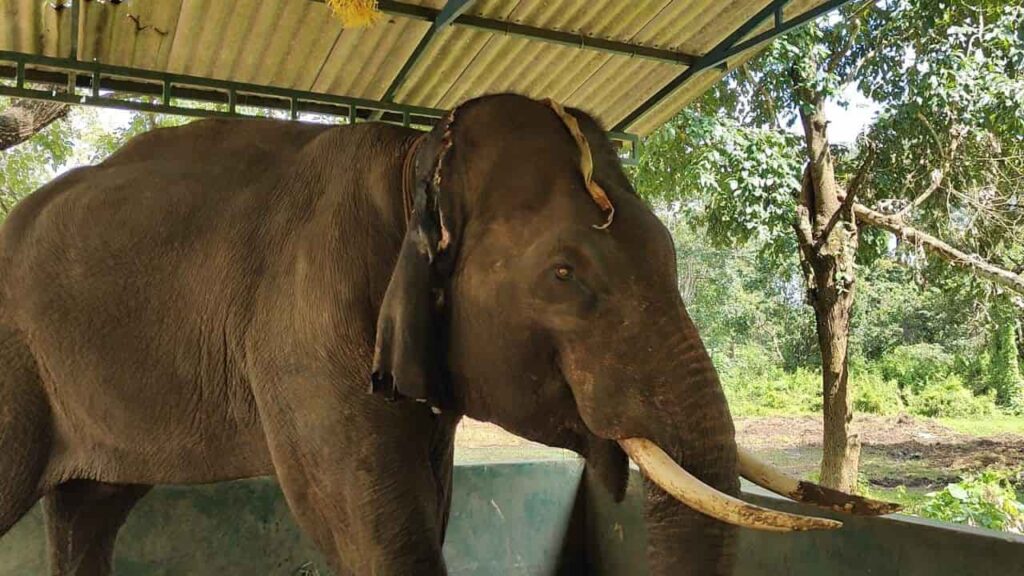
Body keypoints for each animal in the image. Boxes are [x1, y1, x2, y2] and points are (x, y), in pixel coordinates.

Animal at [0, 93, 896, 575]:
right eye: (565, 275)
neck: (411, 161)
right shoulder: (303, 335)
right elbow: (375, 528)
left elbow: (431, 510)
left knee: (87, 512)